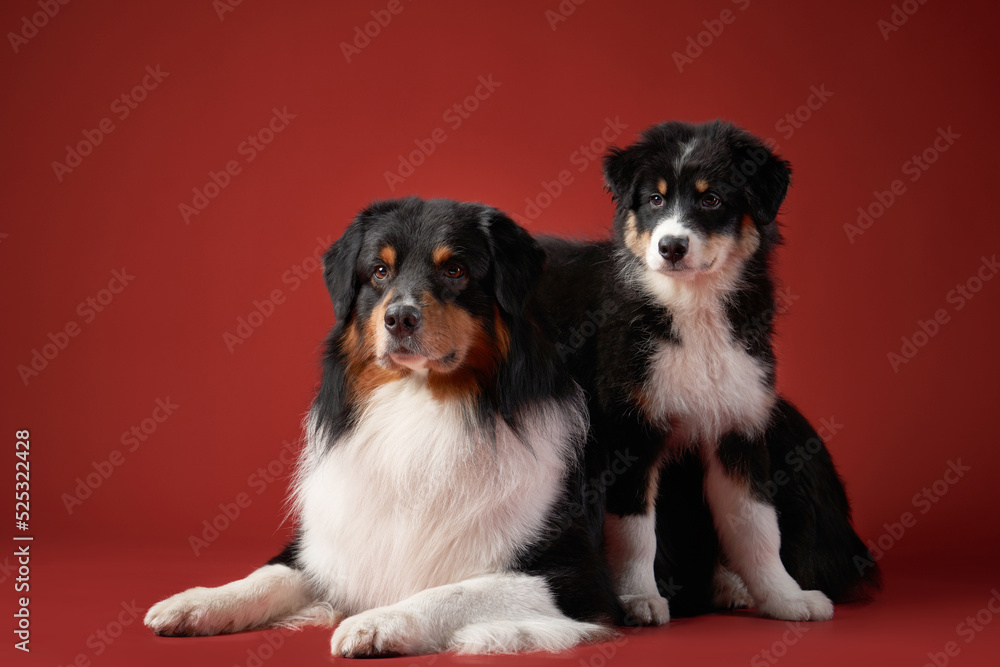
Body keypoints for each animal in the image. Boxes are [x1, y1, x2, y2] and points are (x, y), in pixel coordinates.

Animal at [145, 198, 620, 656]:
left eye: (455, 270)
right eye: (379, 271)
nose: (400, 318)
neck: (418, 402)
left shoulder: (572, 577)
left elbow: (454, 591)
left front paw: (380, 621)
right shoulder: (327, 547)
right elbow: (268, 575)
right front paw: (197, 602)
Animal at [544, 120, 880, 628]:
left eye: (712, 200)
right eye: (655, 199)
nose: (671, 247)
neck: (693, 305)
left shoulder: (738, 427)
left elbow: (758, 528)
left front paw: (786, 598)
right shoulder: (629, 431)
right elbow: (636, 530)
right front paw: (639, 598)